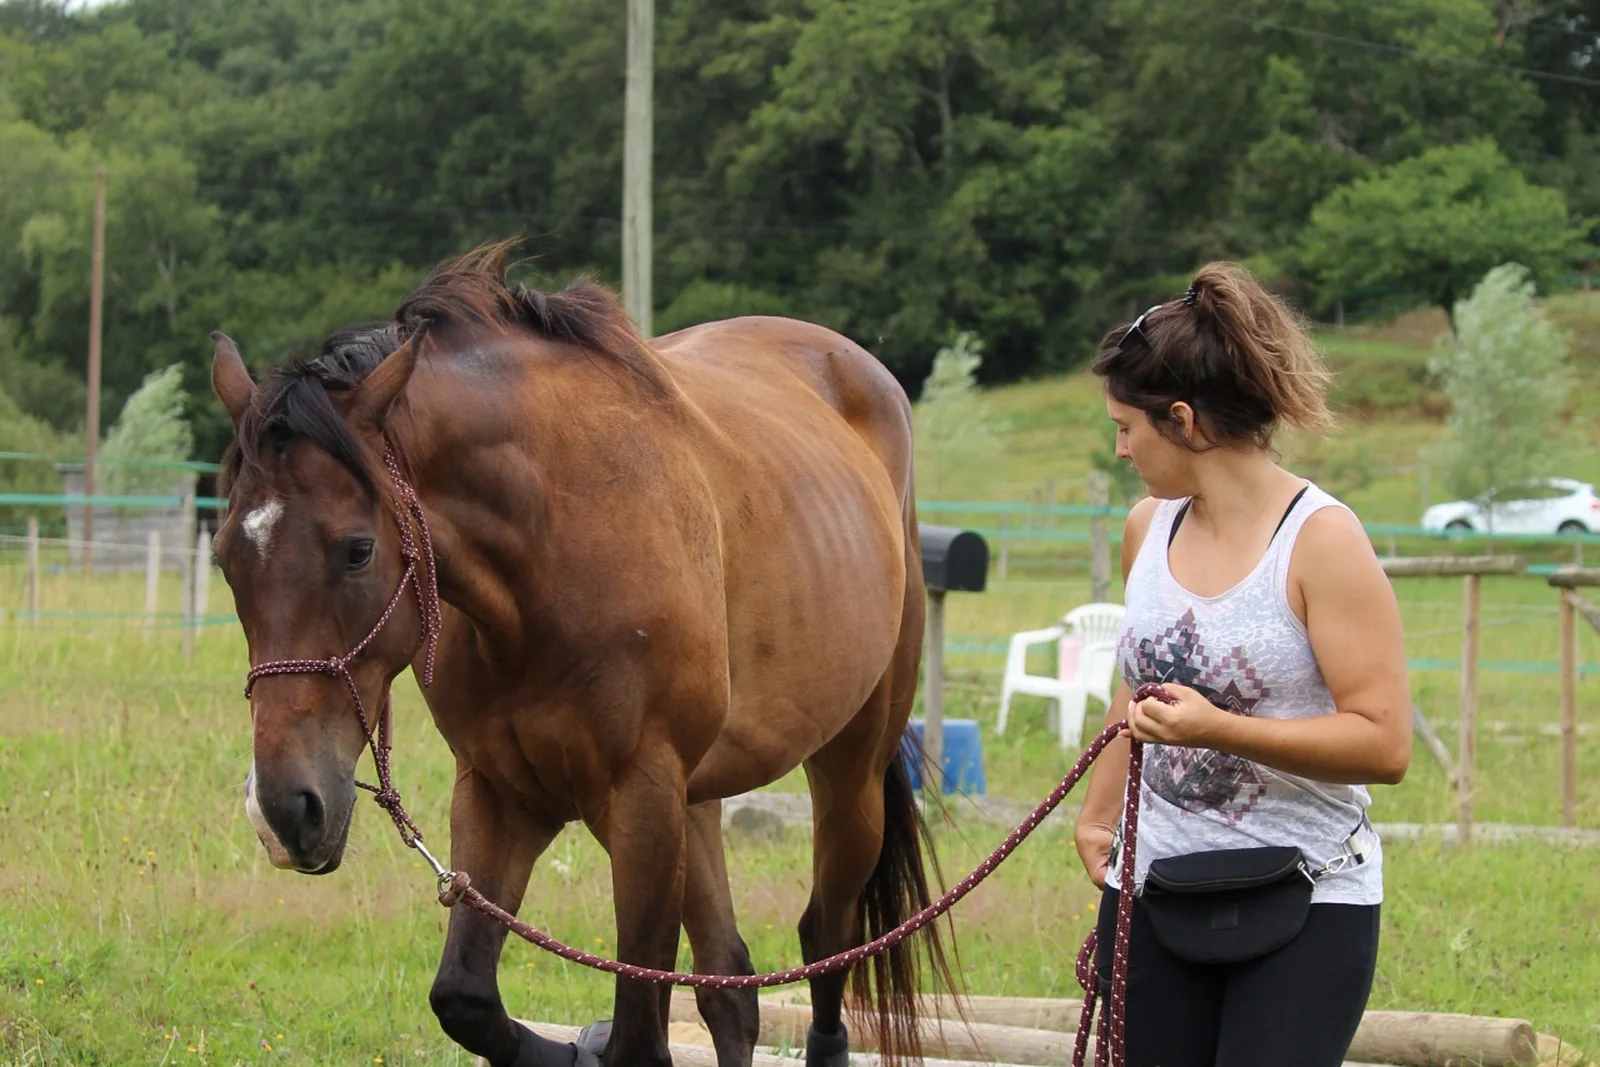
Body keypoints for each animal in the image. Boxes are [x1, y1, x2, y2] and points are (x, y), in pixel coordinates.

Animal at [208, 240, 962, 1067]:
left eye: (356, 549)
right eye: (225, 557)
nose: (283, 810)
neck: (550, 550)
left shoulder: (641, 802)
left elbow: (637, 1032)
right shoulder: (499, 794)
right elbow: (466, 998)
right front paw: (571, 1048)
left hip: (848, 768)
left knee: (827, 937)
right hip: (697, 799)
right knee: (729, 987)